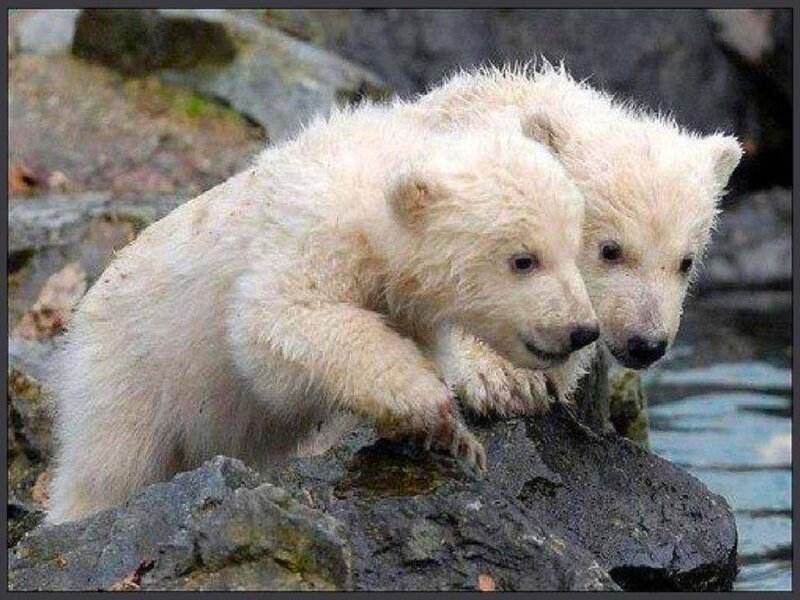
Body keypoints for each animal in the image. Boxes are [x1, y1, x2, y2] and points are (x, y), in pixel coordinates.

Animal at [46, 103, 597, 523]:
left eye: (574, 249)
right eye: (523, 259)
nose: (582, 330)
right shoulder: (311, 239)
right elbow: (277, 325)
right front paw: (440, 416)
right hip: (129, 373)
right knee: (110, 465)